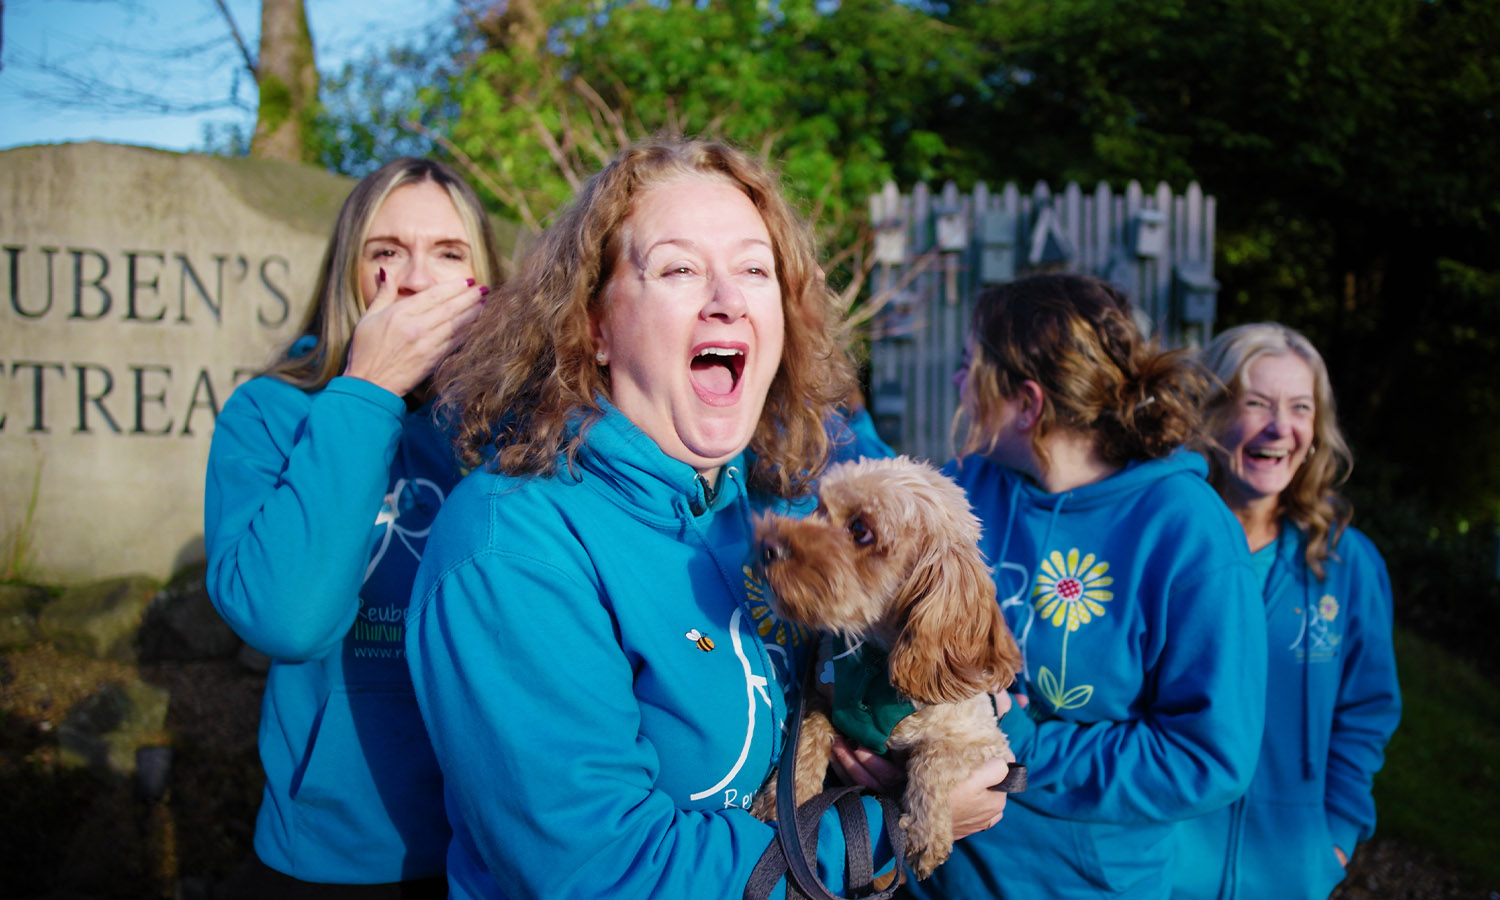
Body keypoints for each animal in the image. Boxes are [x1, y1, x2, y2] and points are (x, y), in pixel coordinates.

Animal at [747, 456, 1020, 876]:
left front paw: (927, 831)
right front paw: (785, 798)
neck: (876, 659)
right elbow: (808, 738)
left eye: (860, 529)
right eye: (820, 508)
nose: (767, 545)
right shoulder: (819, 695)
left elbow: (933, 759)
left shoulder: (986, 743)